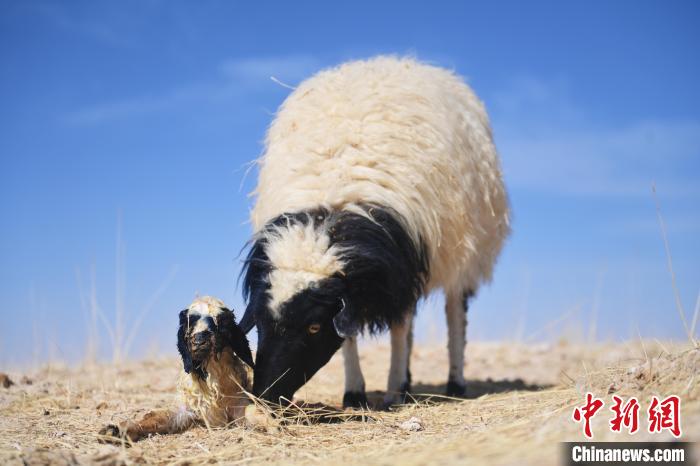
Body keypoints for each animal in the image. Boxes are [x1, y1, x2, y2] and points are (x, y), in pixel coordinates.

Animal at [239, 55, 508, 408]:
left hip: (464, 251)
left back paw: (454, 383)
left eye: (314, 327)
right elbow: (350, 335)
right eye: (260, 322)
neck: (333, 206)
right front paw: (355, 392)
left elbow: (398, 327)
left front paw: (394, 392)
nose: (265, 396)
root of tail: (394, 60)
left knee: (454, 315)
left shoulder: (404, 260)